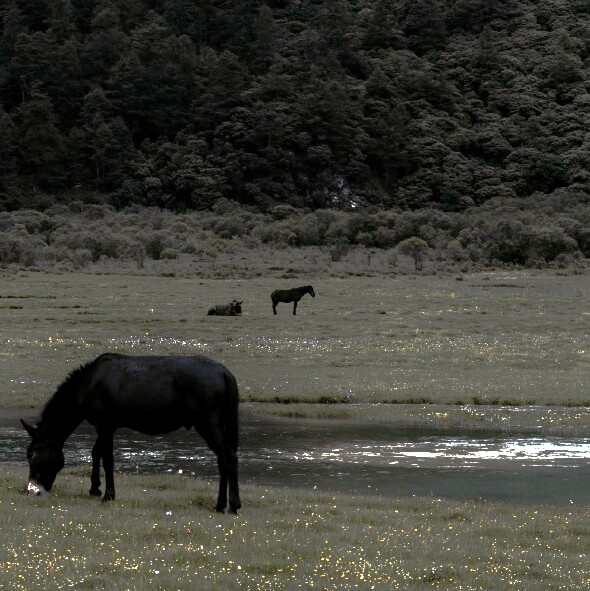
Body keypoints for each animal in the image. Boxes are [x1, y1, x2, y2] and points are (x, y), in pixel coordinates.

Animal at [22, 356, 242, 512]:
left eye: (32, 456)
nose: (32, 490)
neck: (87, 384)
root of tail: (226, 374)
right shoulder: (106, 427)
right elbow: (96, 453)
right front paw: (95, 488)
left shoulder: (105, 425)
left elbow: (107, 459)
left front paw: (108, 495)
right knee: (223, 461)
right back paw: (220, 504)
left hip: (207, 425)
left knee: (229, 457)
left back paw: (233, 504)